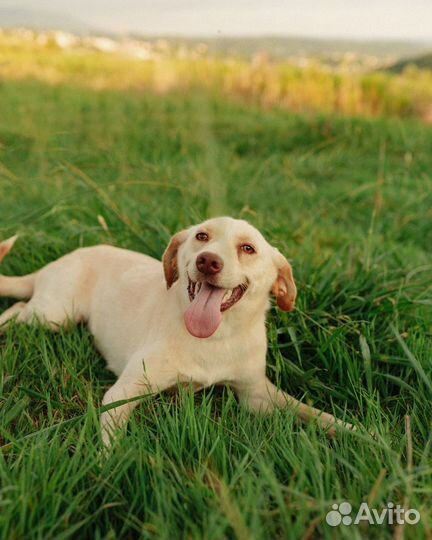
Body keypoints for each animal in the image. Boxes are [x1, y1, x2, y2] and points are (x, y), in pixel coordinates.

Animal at [0, 217, 352, 446]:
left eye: (248, 248)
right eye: (201, 236)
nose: (208, 261)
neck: (215, 339)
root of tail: (55, 263)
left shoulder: (257, 396)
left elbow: (315, 414)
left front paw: (360, 436)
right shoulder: (121, 394)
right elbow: (111, 449)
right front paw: (109, 478)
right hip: (55, 315)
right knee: (16, 310)